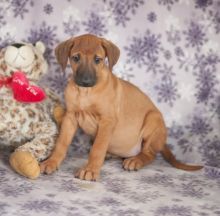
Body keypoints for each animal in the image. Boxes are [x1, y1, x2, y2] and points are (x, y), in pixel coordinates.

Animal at [40, 33, 203, 181]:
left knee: (149, 153)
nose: (86, 81)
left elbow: (97, 148)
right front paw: (51, 162)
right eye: (76, 58)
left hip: (153, 119)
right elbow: (61, 143)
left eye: (97, 60)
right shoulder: (70, 117)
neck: (86, 93)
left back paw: (135, 160)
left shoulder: (107, 121)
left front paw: (90, 170)